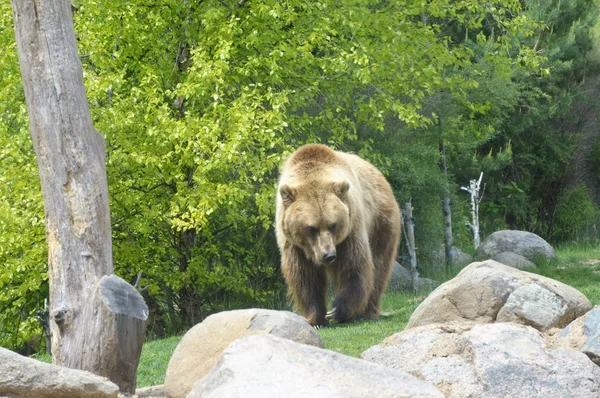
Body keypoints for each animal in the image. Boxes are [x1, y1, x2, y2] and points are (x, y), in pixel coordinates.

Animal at [276, 143, 404, 326]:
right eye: (311, 228)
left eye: (333, 225)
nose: (328, 255)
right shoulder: (293, 243)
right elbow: (304, 276)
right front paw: (315, 317)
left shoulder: (351, 228)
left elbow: (353, 265)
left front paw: (337, 310)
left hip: (381, 222)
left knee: (379, 265)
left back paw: (368, 311)